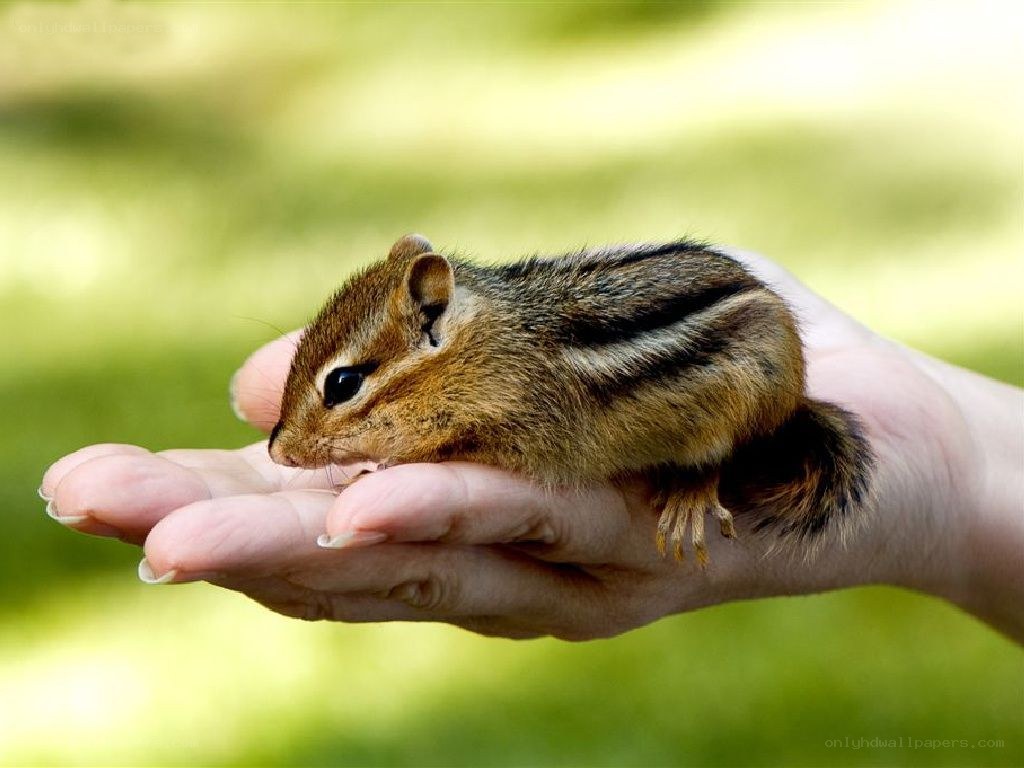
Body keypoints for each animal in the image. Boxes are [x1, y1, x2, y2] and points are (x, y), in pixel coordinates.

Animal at [269, 234, 874, 563]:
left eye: (342, 384)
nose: (277, 450)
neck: (484, 347)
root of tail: (793, 399)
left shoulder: (519, 423)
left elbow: (451, 447)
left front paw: (379, 467)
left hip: (739, 404)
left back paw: (690, 496)